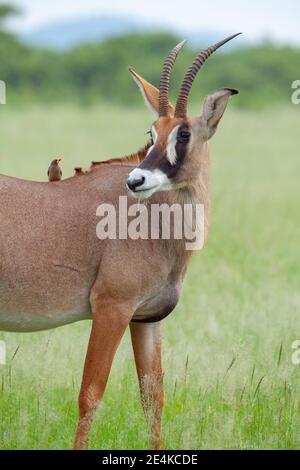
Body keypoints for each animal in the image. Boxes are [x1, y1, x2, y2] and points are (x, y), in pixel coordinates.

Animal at [0, 32, 240, 448]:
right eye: (151, 132)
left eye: (184, 133)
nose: (136, 180)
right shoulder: (111, 308)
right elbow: (90, 395)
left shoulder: (147, 319)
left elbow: (153, 397)